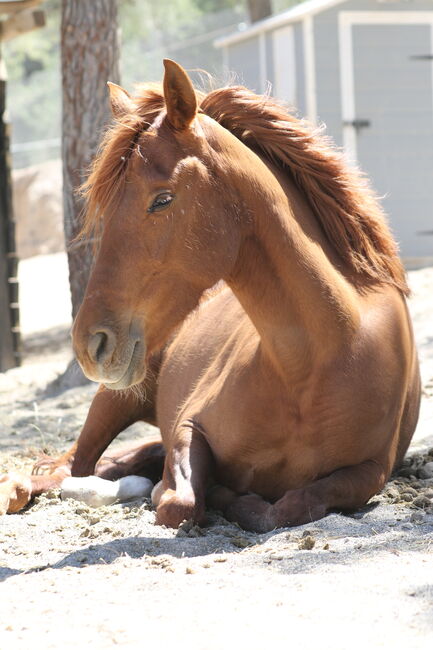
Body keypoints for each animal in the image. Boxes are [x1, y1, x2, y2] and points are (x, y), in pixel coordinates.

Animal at [0, 58, 418, 528]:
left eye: (162, 200)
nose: (92, 344)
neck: (318, 363)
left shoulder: (371, 469)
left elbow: (292, 505)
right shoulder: (189, 425)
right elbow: (179, 500)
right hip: (114, 399)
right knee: (70, 467)